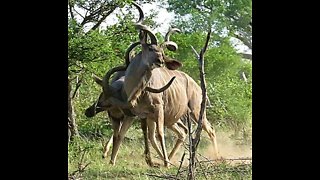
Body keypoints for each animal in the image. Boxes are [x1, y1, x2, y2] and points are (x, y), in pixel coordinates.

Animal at [102, 2, 220, 167]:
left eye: (162, 51)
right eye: (151, 48)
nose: (161, 61)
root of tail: (197, 86)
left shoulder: (158, 109)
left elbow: (159, 134)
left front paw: (163, 163)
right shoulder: (139, 114)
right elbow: (134, 134)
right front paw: (114, 160)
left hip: (196, 112)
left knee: (209, 130)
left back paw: (215, 157)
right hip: (175, 118)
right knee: (183, 132)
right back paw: (170, 158)